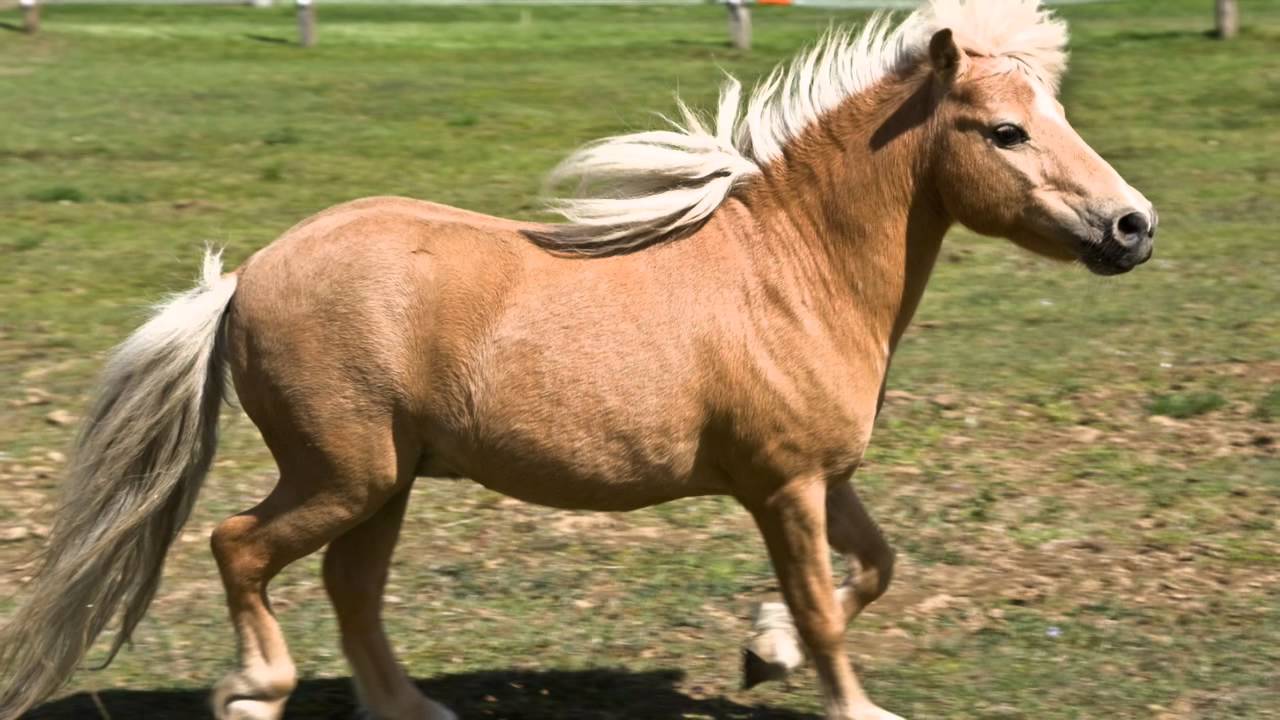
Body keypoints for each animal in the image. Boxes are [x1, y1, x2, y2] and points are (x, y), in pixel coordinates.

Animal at [0, 1, 1156, 718]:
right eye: (1004, 132)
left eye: (1055, 114)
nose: (1132, 227)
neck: (789, 274)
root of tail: (243, 279)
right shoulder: (783, 486)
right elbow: (830, 603)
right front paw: (849, 700)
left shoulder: (823, 477)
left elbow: (874, 568)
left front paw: (762, 650)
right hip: (344, 474)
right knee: (240, 548)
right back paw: (255, 690)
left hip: (382, 484)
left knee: (348, 588)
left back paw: (409, 705)